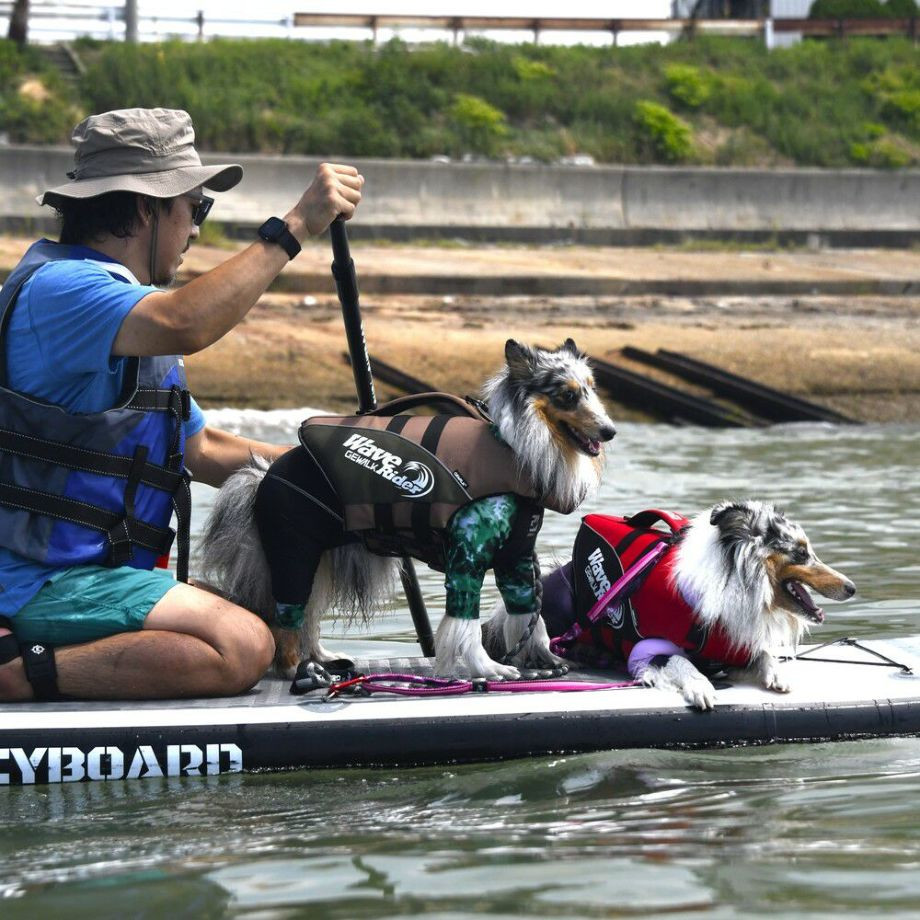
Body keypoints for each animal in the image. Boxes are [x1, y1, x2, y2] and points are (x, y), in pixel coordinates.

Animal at [202, 342, 620, 680]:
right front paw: (488, 668)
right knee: (286, 623)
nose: (610, 431)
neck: (517, 446)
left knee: (308, 618)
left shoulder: (516, 555)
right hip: (294, 551)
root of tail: (263, 475)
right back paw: (297, 670)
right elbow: (466, 623)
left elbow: (529, 613)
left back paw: (322, 658)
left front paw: (545, 658)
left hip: (319, 561)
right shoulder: (468, 553)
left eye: (592, 389)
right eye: (567, 395)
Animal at [486, 500, 860, 708]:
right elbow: (681, 662)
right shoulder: (647, 649)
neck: (733, 581)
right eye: (801, 553)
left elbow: (764, 655)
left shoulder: (734, 646)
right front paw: (701, 688)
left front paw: (777, 674)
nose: (852, 587)